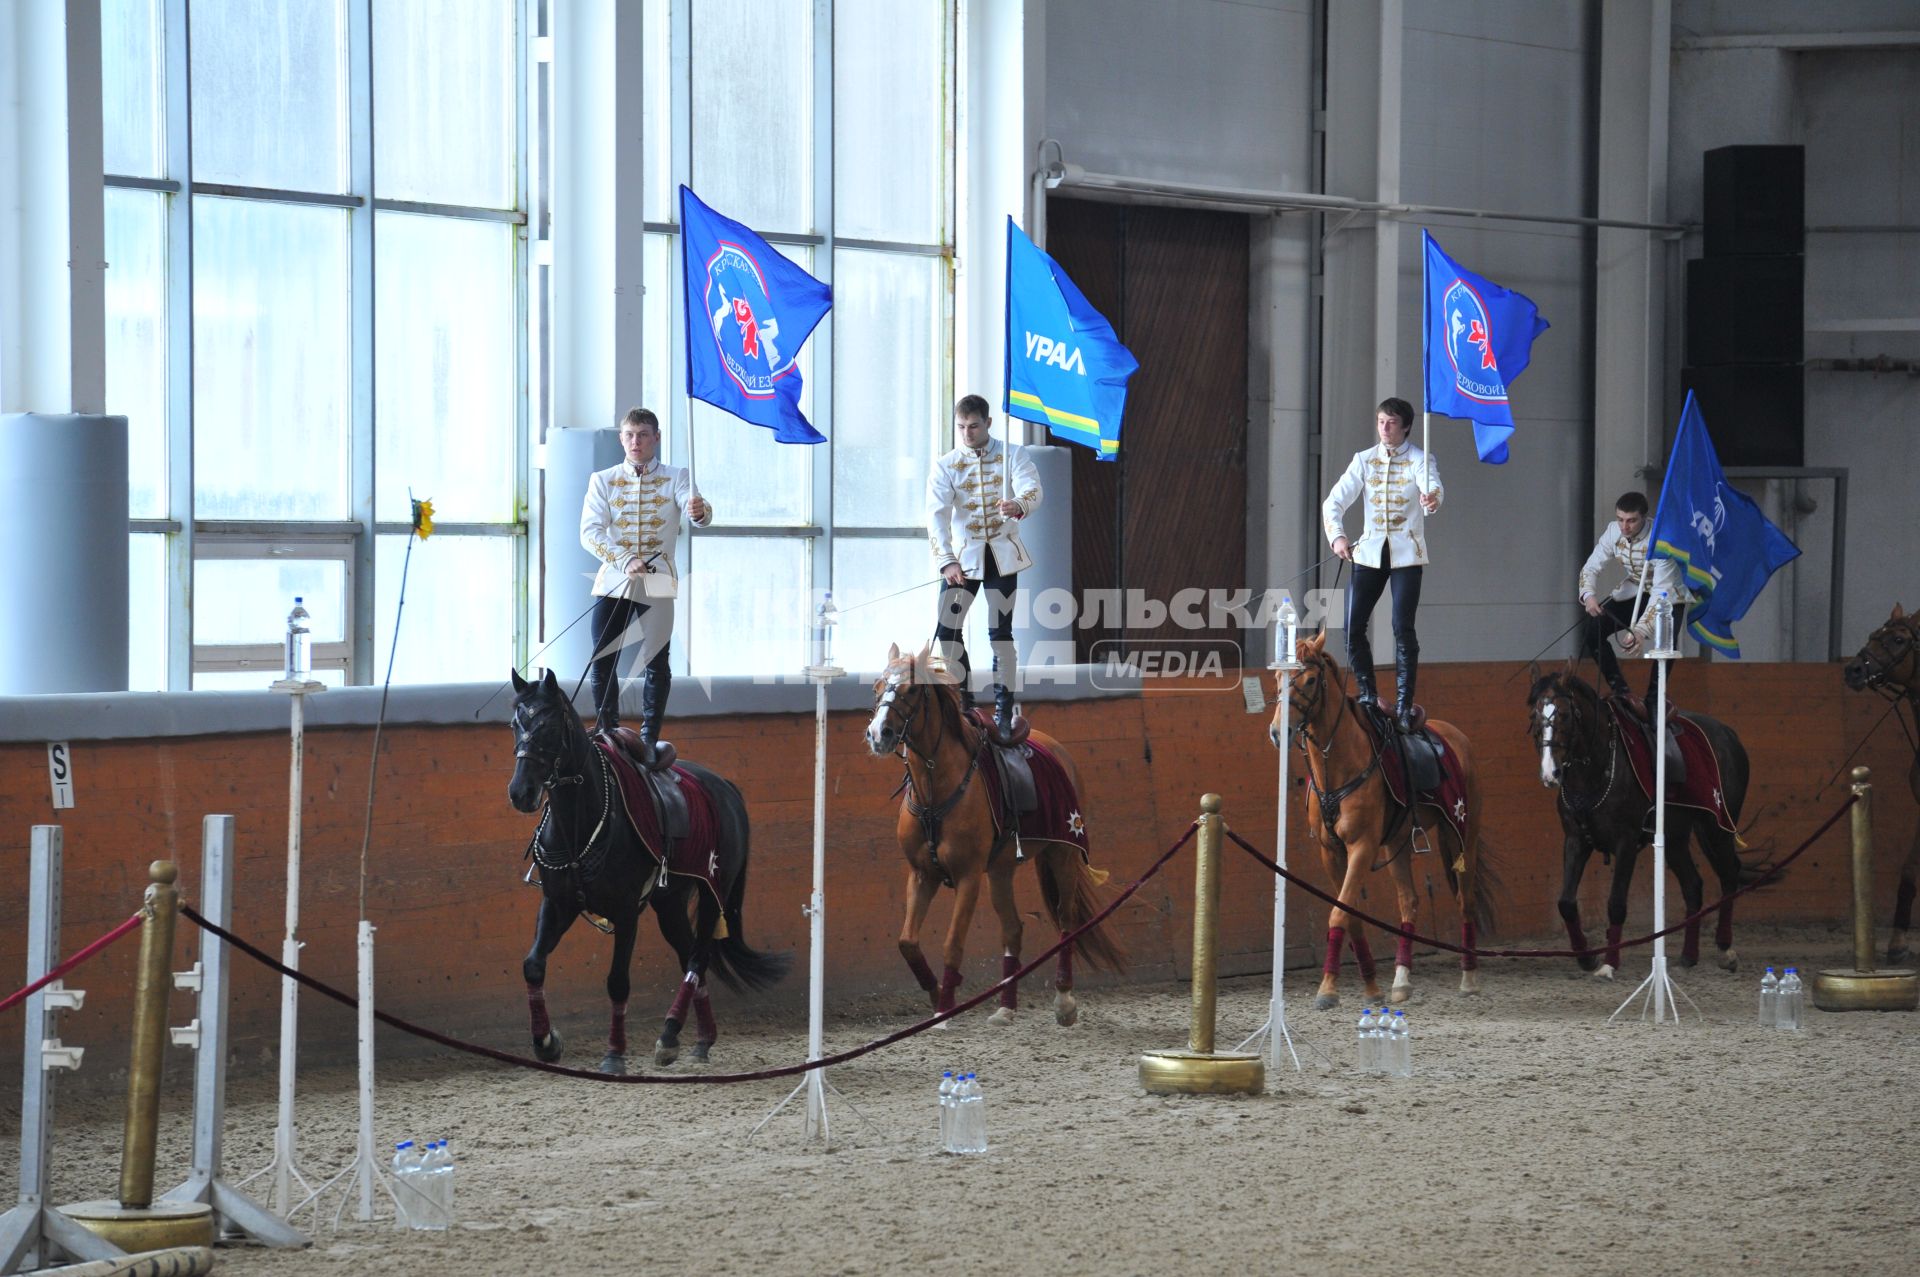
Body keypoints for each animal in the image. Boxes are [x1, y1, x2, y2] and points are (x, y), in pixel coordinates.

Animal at [506, 672, 791, 1067]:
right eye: (515, 724)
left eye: (548, 725)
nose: (522, 791)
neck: (582, 818)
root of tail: (727, 788)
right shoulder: (558, 903)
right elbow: (533, 964)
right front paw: (546, 1042)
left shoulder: (627, 911)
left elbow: (617, 981)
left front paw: (614, 1055)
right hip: (670, 903)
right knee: (689, 956)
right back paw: (701, 1040)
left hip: (712, 893)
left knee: (698, 958)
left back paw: (670, 1035)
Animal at [860, 641, 1121, 1021]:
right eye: (877, 687)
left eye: (911, 690)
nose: (879, 734)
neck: (936, 792)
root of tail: (1057, 749)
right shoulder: (922, 874)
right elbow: (907, 942)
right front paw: (936, 996)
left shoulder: (968, 877)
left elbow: (952, 944)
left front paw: (945, 1010)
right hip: (1000, 870)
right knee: (1013, 928)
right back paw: (1006, 1008)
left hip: (1063, 853)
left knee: (1066, 919)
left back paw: (1064, 1000)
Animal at [1259, 633, 1497, 1013]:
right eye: (1278, 679)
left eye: (1309, 680)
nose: (1279, 732)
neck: (1339, 766)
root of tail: (1454, 736)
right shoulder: (1331, 852)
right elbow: (1350, 914)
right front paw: (1370, 988)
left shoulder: (1362, 847)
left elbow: (1339, 914)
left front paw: (1327, 990)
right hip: (1397, 844)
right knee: (1409, 901)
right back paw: (1401, 980)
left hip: (1462, 834)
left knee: (1466, 900)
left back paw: (1469, 979)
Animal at [1520, 660, 1758, 971]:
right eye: (1534, 715)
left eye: (1563, 713)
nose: (1550, 772)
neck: (1597, 766)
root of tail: (1729, 735)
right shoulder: (1575, 840)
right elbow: (1566, 903)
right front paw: (1586, 957)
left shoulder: (1627, 842)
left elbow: (1616, 904)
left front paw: (1609, 963)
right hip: (1676, 837)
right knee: (1693, 885)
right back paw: (1689, 954)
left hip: (1717, 826)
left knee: (1729, 875)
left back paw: (1725, 948)